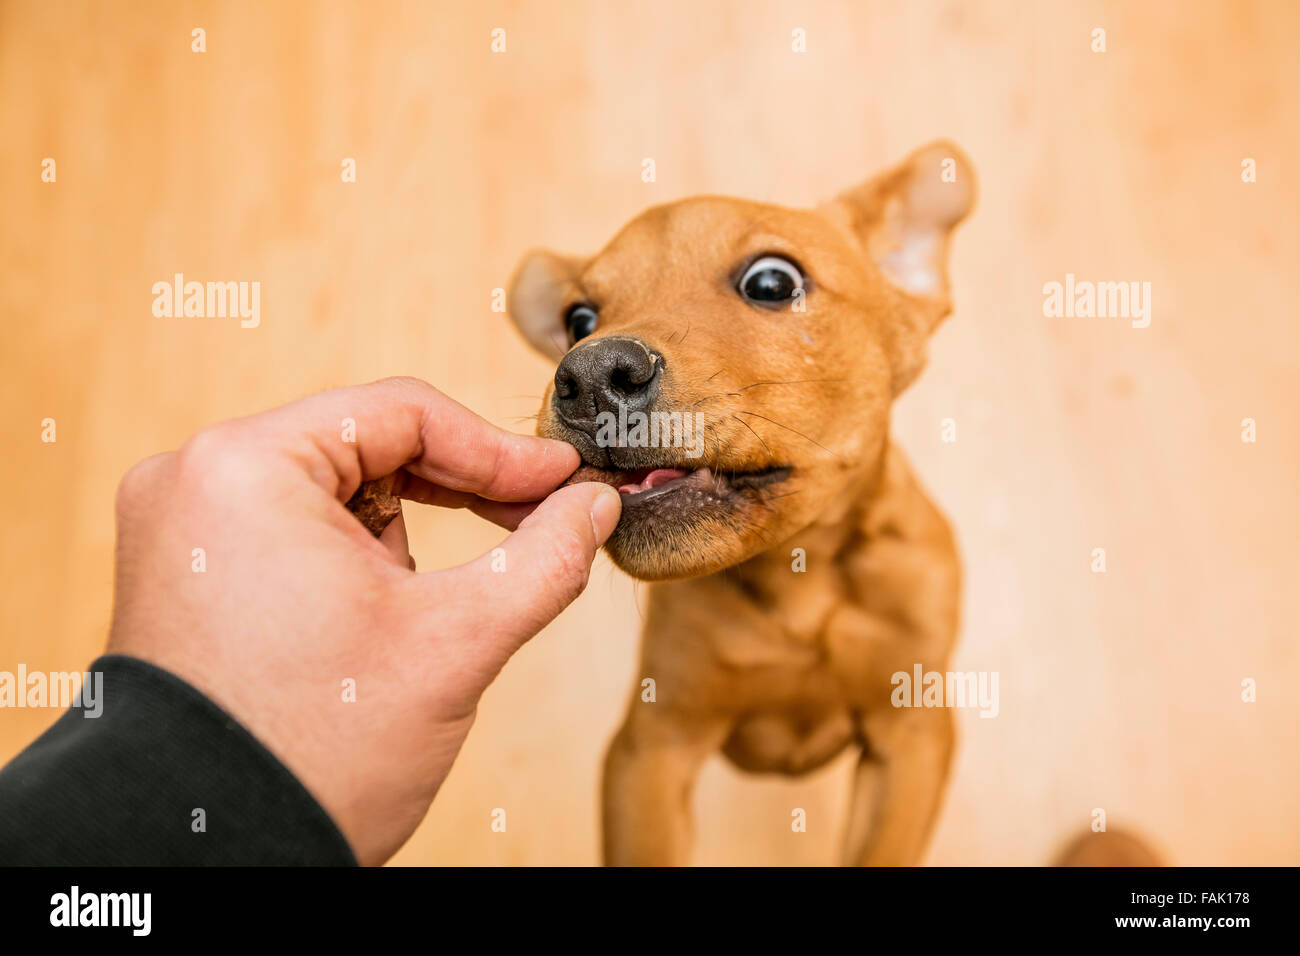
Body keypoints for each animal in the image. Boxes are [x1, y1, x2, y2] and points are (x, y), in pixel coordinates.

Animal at [501, 141, 972, 868]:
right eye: (579, 320)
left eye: (772, 283)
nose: (588, 374)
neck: (799, 573)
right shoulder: (652, 747)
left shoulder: (912, 739)